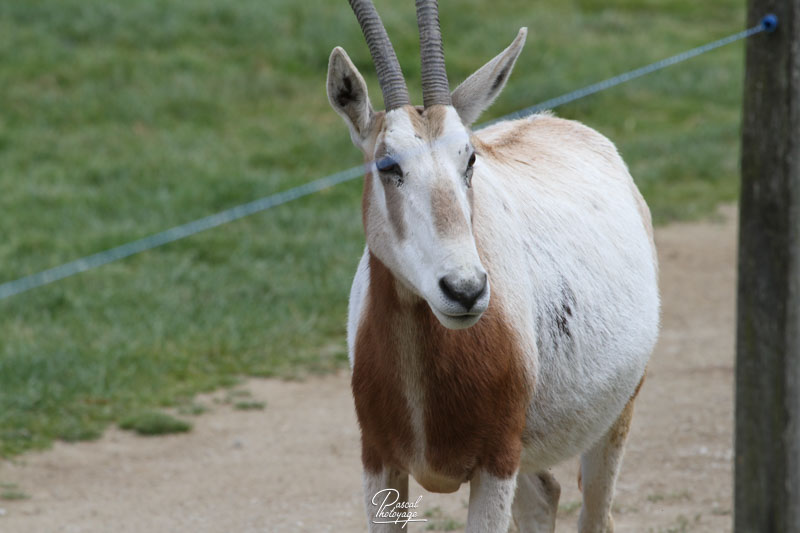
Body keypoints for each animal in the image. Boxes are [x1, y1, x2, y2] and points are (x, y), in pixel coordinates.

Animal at [328, 2, 660, 528]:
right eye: (387, 164)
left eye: (470, 159)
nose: (464, 290)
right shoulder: (377, 460)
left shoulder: (495, 464)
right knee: (543, 495)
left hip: (614, 417)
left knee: (596, 514)